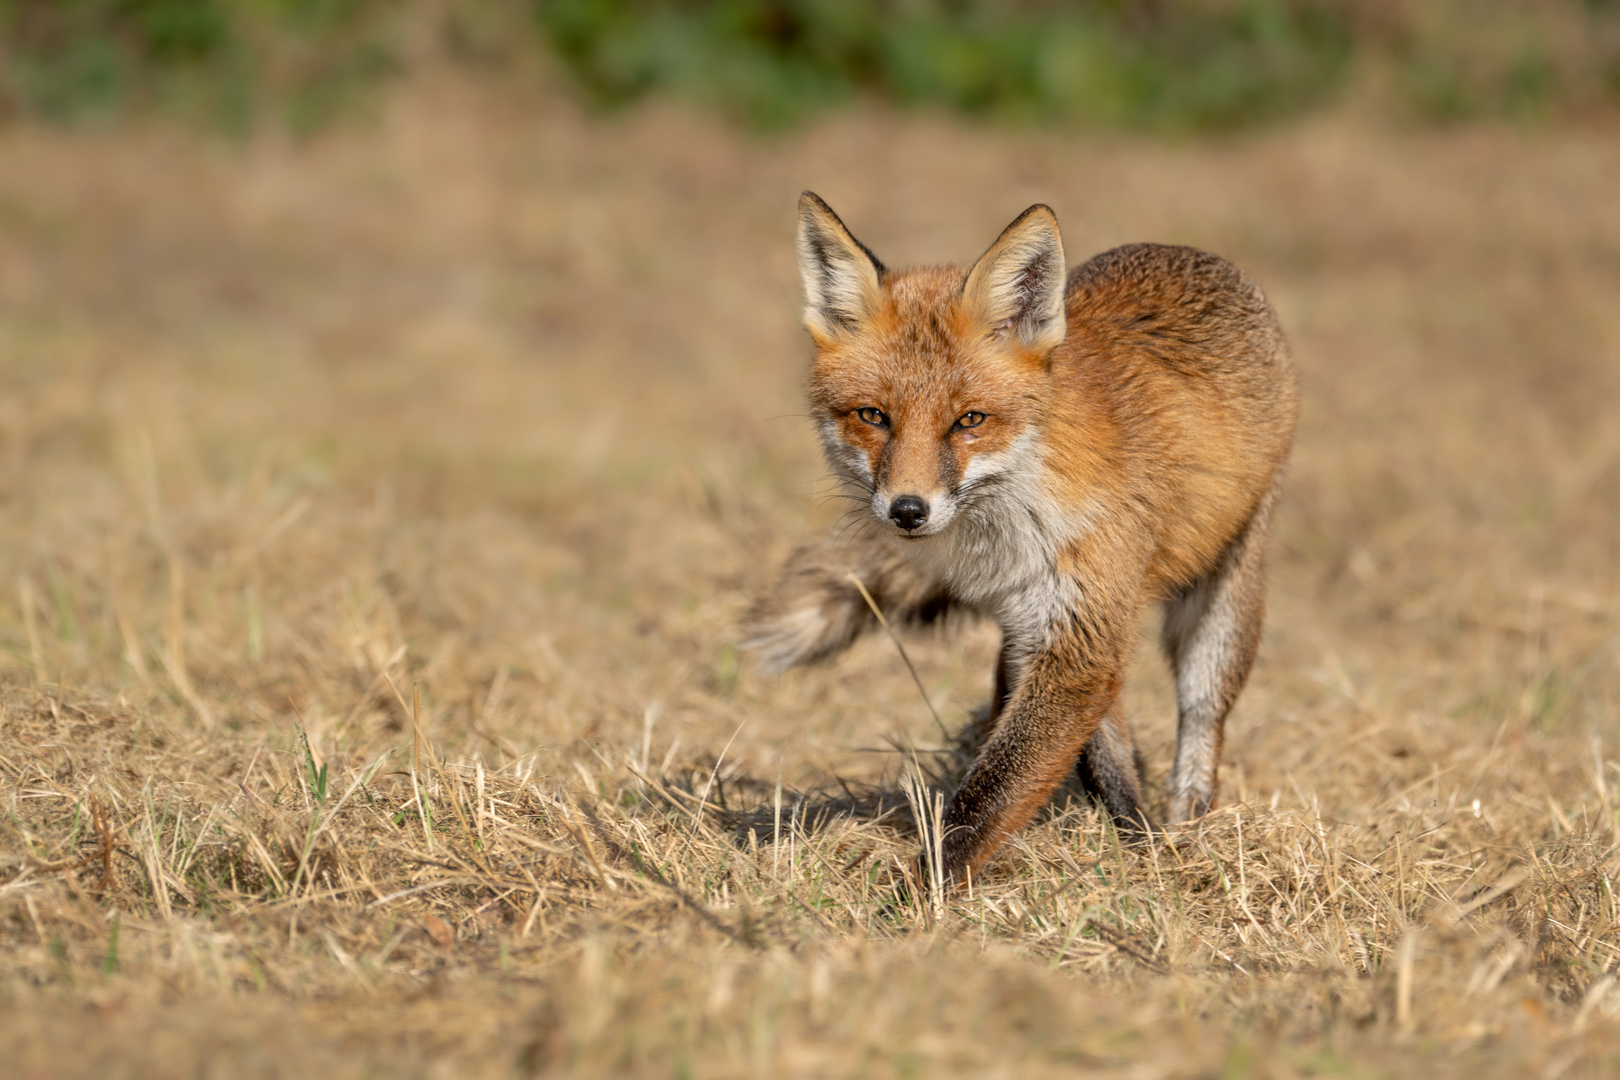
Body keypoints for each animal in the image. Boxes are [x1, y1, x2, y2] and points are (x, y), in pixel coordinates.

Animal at [748, 194, 1302, 887]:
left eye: (969, 421)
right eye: (873, 416)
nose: (908, 511)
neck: (1014, 519)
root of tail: (1194, 253)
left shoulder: (1081, 636)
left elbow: (987, 797)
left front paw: (917, 894)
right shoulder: (1040, 624)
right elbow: (1093, 760)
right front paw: (1133, 849)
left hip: (1223, 604)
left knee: (1202, 718)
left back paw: (1189, 825)